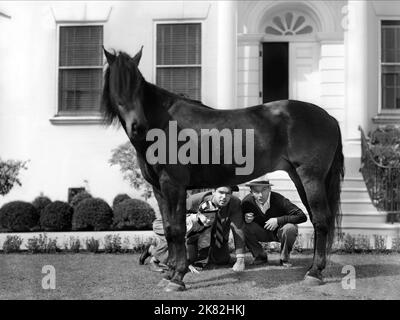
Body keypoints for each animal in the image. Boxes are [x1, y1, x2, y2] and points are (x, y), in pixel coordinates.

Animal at [101, 46, 346, 292]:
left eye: (137, 84)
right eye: (115, 84)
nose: (137, 126)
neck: (163, 125)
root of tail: (330, 118)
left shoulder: (174, 186)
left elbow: (178, 229)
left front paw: (178, 277)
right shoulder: (159, 189)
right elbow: (169, 229)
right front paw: (168, 273)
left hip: (311, 178)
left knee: (321, 220)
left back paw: (314, 273)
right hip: (299, 178)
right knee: (316, 219)